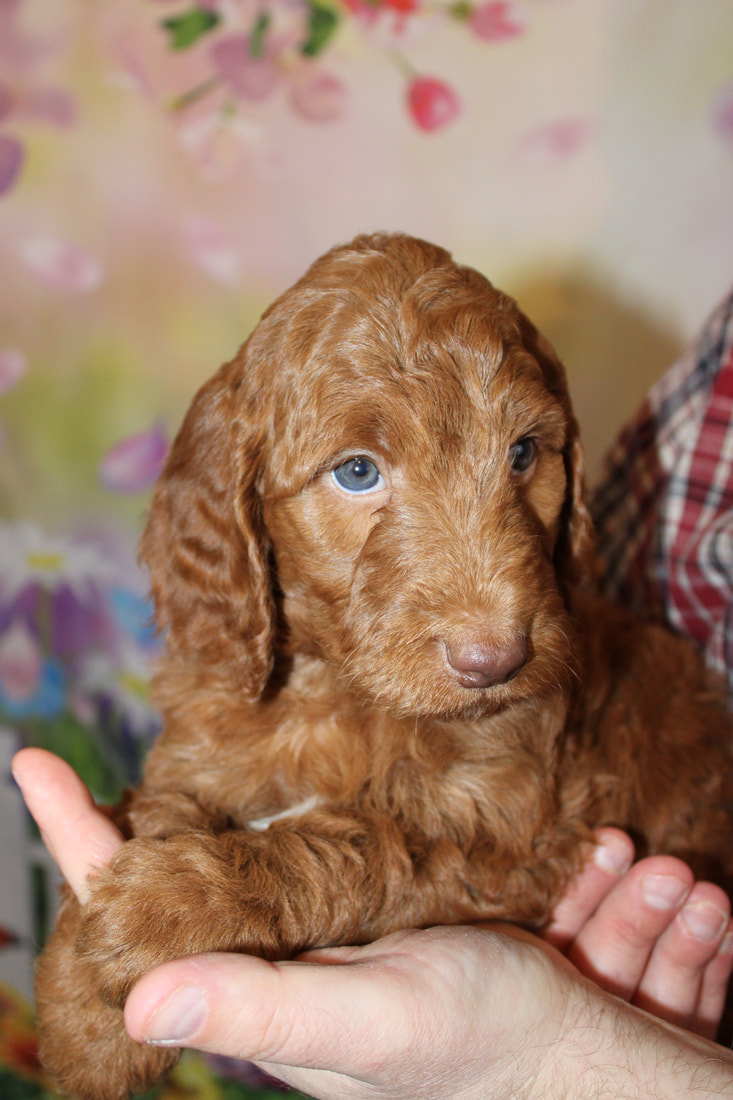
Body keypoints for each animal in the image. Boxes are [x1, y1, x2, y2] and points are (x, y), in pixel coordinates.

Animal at [35, 234, 730, 1100]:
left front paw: (168, 906)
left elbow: (362, 847)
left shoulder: (510, 839)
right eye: (358, 471)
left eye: (523, 454)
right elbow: (165, 802)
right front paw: (82, 1019)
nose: (495, 661)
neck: (342, 689)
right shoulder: (209, 739)